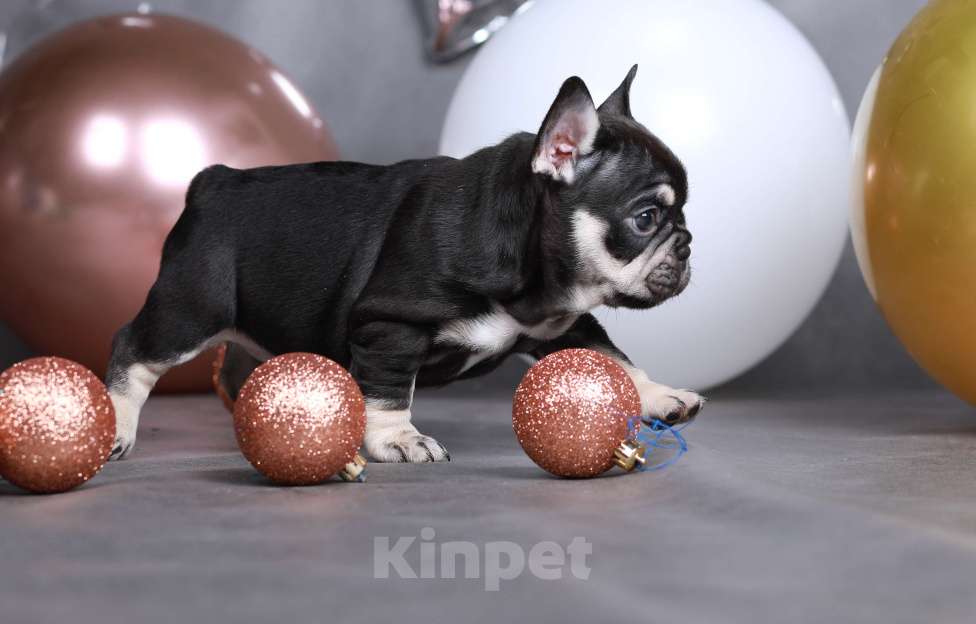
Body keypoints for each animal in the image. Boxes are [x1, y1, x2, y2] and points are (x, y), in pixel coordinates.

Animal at [105, 66, 700, 460]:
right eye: (646, 217)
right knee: (135, 350)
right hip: (190, 306)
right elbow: (391, 389)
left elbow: (615, 359)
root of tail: (214, 181)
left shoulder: (566, 325)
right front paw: (397, 439)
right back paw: (118, 426)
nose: (688, 242)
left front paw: (660, 395)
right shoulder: (390, 325)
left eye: (682, 213)